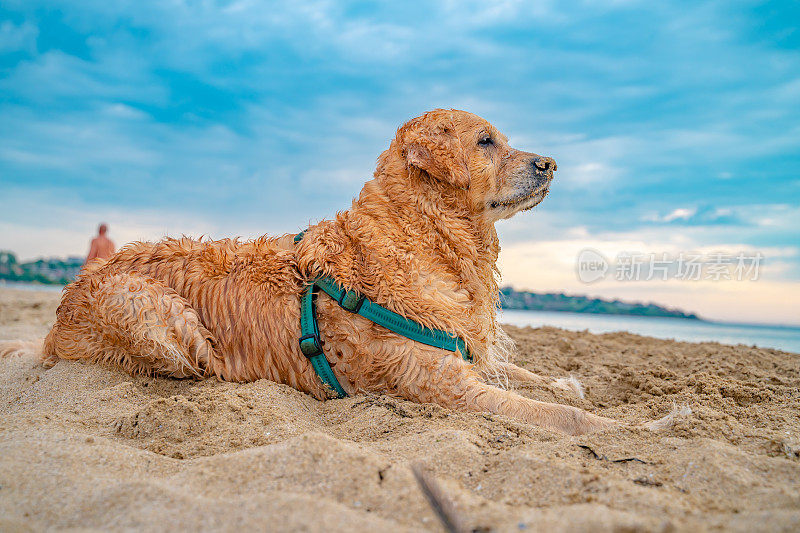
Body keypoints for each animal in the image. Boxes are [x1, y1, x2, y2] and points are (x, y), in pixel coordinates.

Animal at [3, 108, 648, 432]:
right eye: (486, 141)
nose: (551, 163)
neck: (424, 237)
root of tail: (58, 315)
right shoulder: (436, 382)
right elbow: (555, 416)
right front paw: (634, 430)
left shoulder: (460, 352)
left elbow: (532, 381)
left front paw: (568, 384)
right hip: (157, 311)